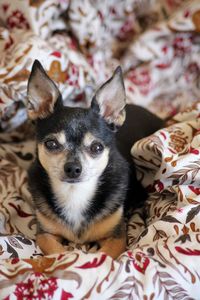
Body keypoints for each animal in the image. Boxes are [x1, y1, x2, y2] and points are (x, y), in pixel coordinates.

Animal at [27, 59, 164, 258]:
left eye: (97, 148)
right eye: (51, 144)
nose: (73, 168)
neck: (74, 194)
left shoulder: (116, 237)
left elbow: (104, 256)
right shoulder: (44, 233)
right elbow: (57, 252)